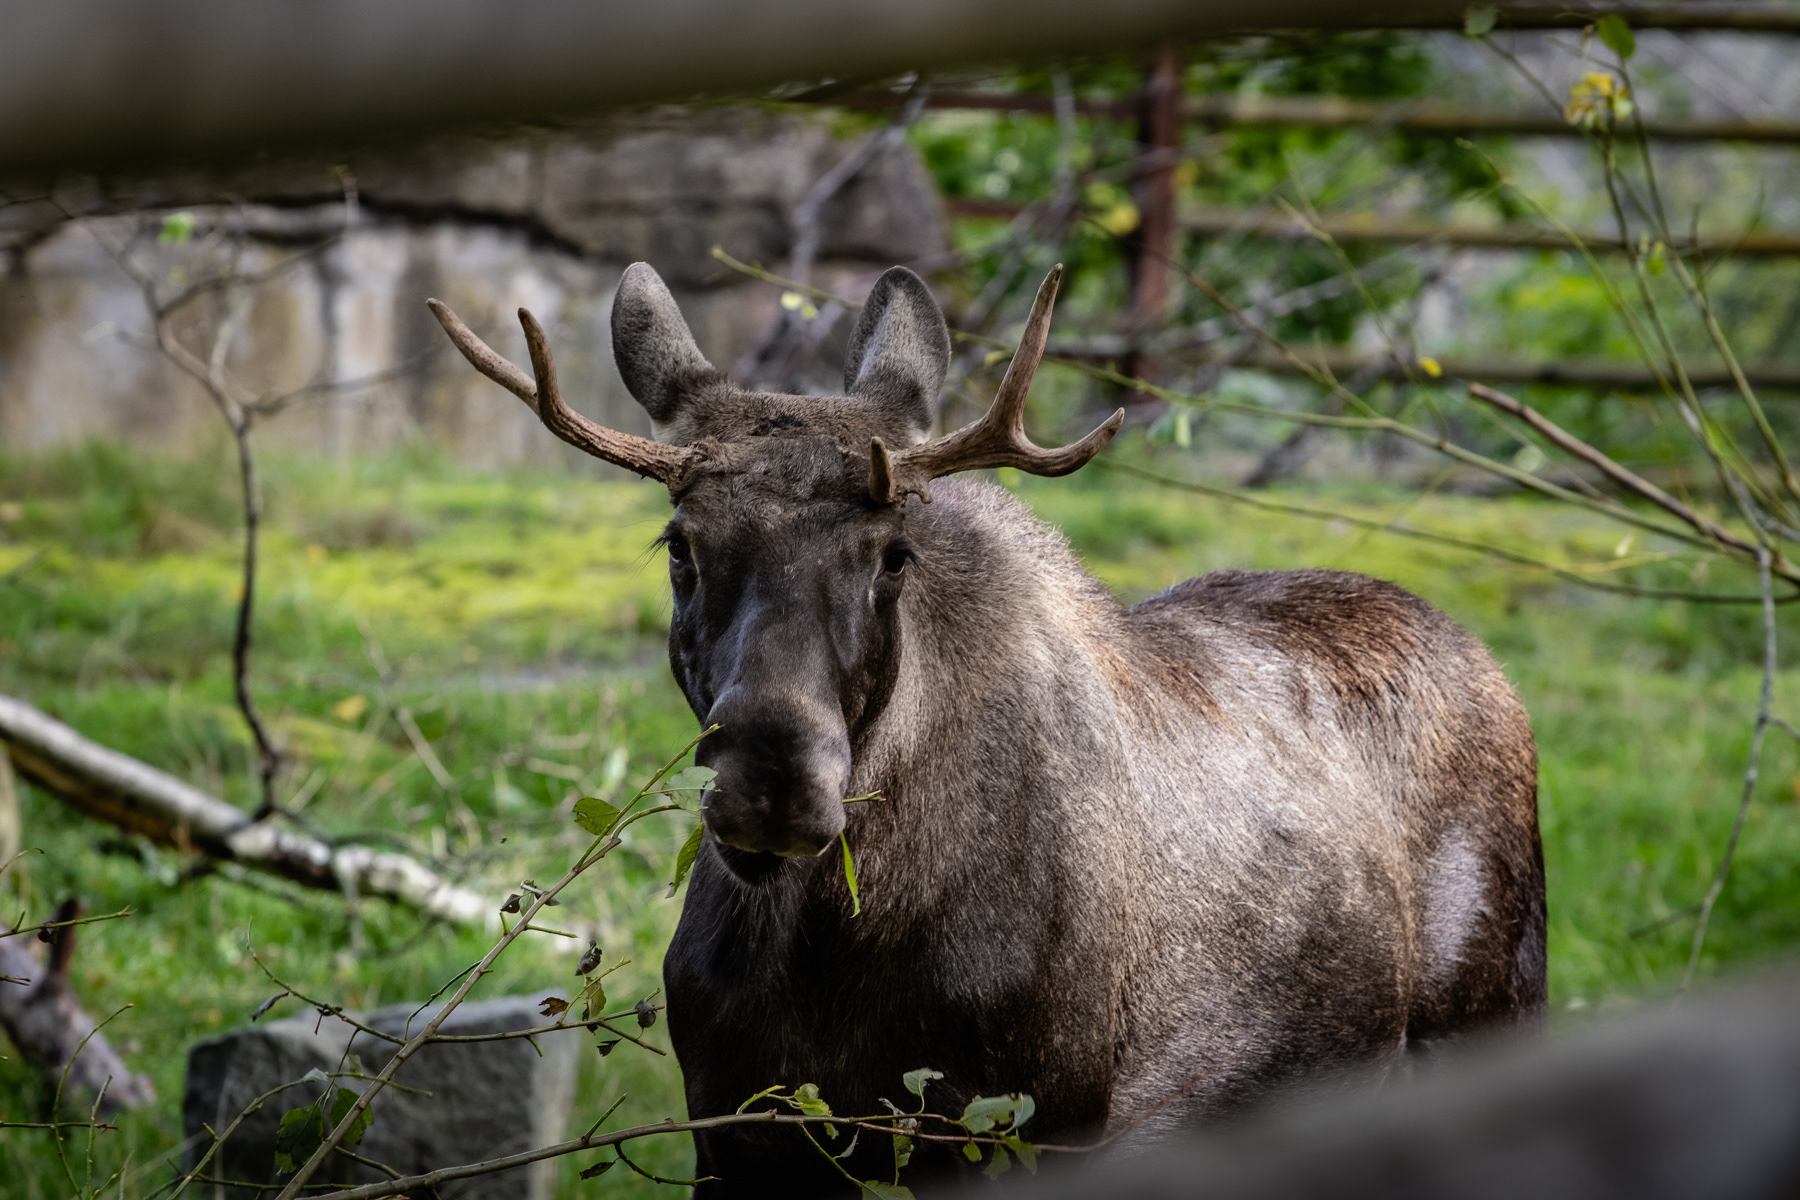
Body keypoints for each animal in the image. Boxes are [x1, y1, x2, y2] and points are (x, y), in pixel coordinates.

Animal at [427, 262, 1545, 1197]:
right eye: (680, 546)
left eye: (892, 554)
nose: (774, 779)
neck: (838, 949)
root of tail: (1488, 663)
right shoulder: (738, 1131)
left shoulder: (1029, 1127)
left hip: (1492, 1013)